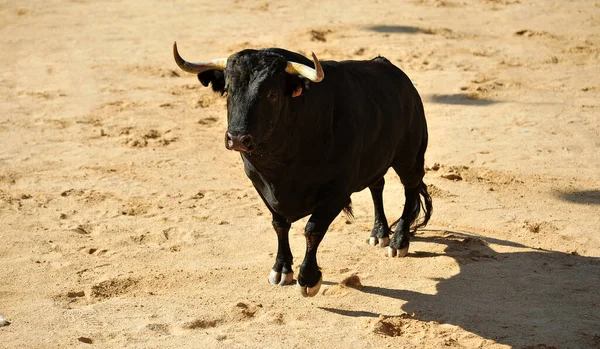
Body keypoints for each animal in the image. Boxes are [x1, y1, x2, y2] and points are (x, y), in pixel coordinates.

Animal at [173, 44, 432, 296]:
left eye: (272, 93)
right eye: (228, 90)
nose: (237, 138)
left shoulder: (337, 190)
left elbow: (312, 230)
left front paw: (308, 279)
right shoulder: (262, 186)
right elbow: (279, 225)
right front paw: (281, 269)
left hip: (409, 157)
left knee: (410, 189)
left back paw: (399, 241)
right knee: (377, 186)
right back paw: (379, 233)